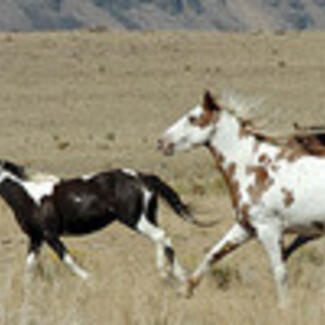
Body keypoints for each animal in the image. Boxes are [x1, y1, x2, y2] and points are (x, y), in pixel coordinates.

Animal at [0, 160, 213, 280]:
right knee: (165, 239)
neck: (28, 196)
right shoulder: (36, 238)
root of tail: (142, 177)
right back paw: (179, 275)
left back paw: (164, 273)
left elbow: (67, 258)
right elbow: (28, 268)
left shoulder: (49, 235)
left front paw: (88, 279)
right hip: (148, 217)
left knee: (160, 236)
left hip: (135, 220)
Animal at [159, 90, 325, 306]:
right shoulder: (246, 226)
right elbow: (214, 253)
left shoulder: (268, 229)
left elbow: (280, 272)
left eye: (192, 118)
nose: (161, 142)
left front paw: (284, 307)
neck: (254, 168)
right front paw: (185, 289)